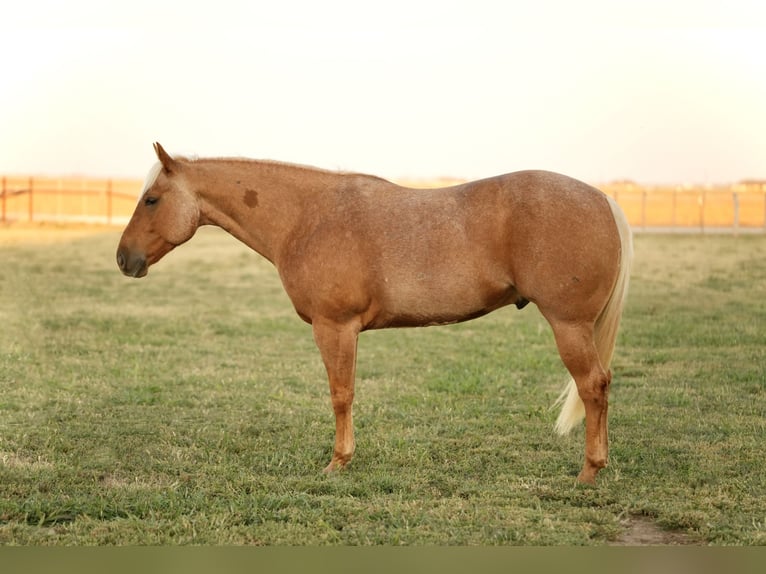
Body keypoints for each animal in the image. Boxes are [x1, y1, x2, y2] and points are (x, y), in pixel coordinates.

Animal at [117, 144, 632, 486]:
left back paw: (589, 472)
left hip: (569, 327)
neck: (307, 217)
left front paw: (338, 462)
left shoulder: (335, 328)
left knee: (592, 387)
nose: (124, 259)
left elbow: (340, 395)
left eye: (151, 199)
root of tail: (602, 199)